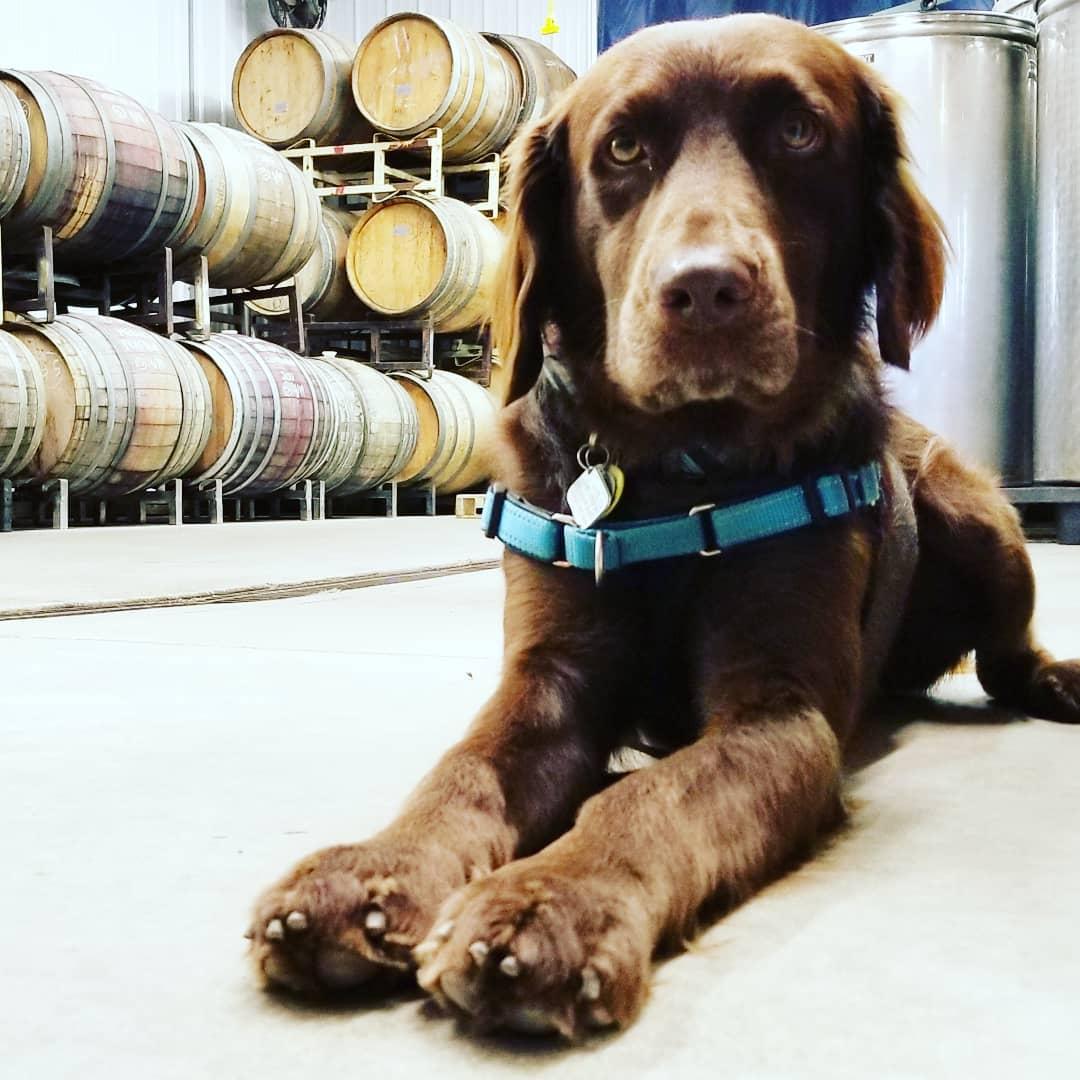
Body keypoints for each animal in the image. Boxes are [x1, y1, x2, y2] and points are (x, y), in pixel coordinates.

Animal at [247, 14, 1080, 1036]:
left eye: (799, 133)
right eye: (624, 149)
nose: (706, 291)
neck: (673, 477)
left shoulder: (778, 712)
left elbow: (652, 794)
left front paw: (549, 904)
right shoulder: (550, 677)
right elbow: (462, 771)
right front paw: (374, 873)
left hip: (978, 517)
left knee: (1007, 653)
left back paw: (1059, 679)